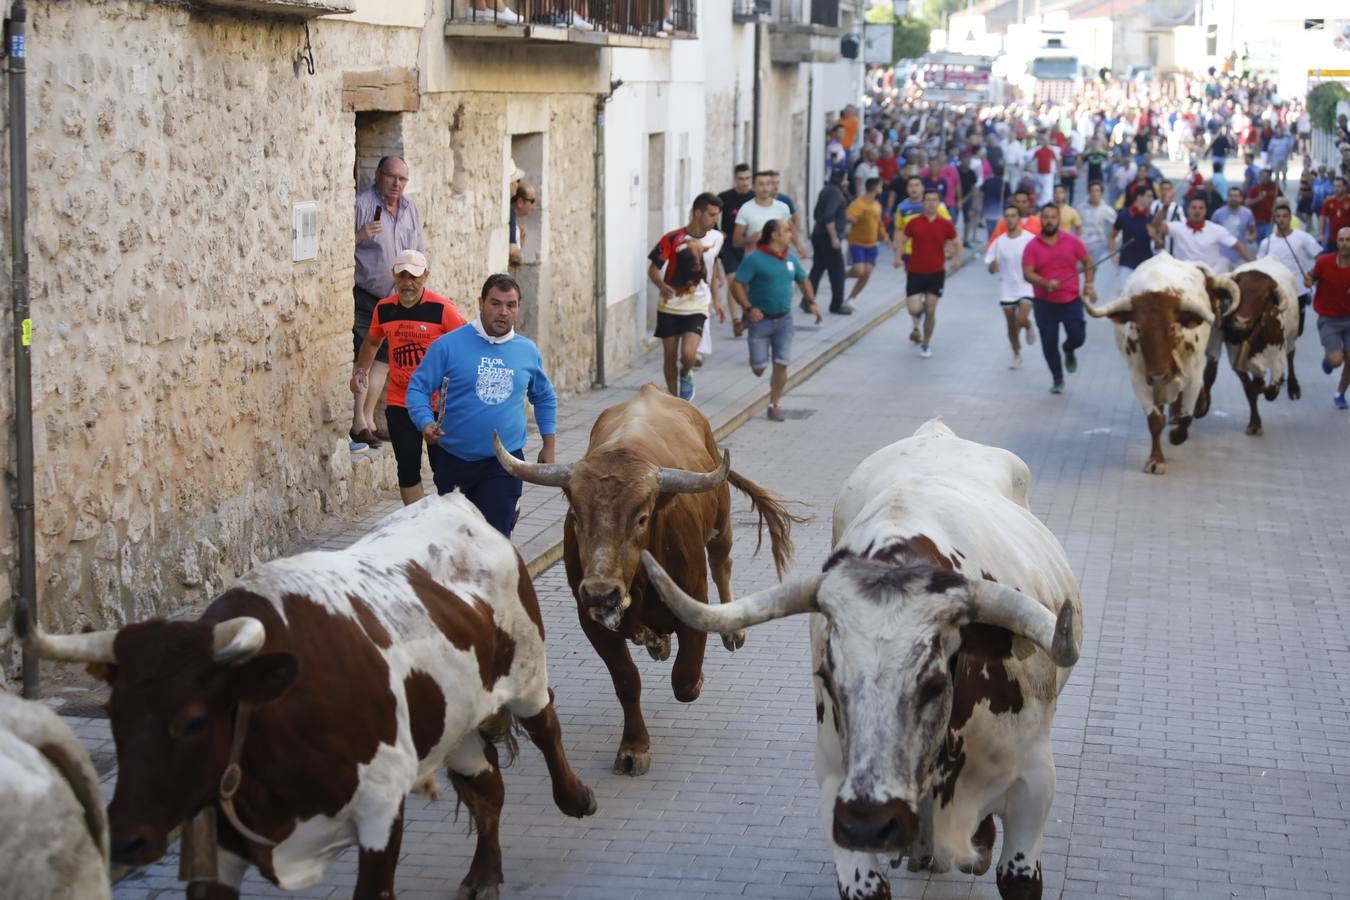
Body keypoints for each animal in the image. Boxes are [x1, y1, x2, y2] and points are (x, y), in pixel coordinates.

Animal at [14, 493, 596, 900]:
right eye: (113, 716)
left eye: (195, 721)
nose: (127, 840)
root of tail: (453, 504)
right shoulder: (216, 842)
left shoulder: (380, 809)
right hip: (454, 719)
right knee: (486, 786)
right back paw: (483, 874)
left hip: (525, 670)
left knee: (545, 724)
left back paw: (576, 798)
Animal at [499, 383, 799, 777]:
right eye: (576, 515)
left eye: (641, 517)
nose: (601, 592)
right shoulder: (591, 622)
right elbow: (627, 681)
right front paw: (633, 747)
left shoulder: (693, 601)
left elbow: (684, 679)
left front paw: (693, 676)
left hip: (722, 522)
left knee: (723, 561)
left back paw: (730, 630)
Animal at [645, 423, 1085, 900]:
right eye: (827, 678)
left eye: (933, 684)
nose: (870, 824)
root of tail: (936, 430)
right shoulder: (835, 788)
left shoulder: (1034, 786)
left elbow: (1017, 874)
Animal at [1080, 249, 1236, 474]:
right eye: (1138, 327)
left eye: (1171, 327)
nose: (1159, 375)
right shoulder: (1139, 379)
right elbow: (1155, 420)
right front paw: (1155, 460)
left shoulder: (1193, 376)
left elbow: (1187, 417)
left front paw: (1176, 435)